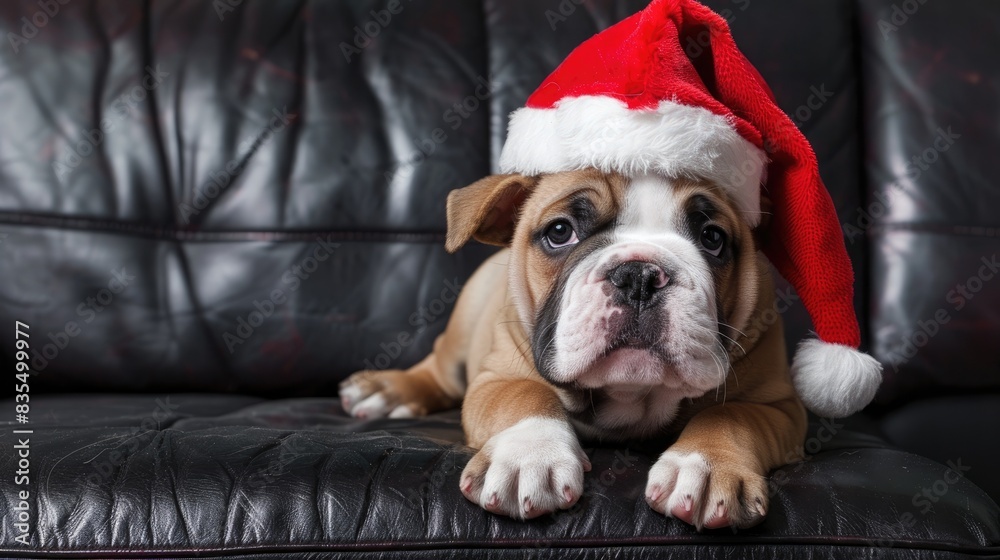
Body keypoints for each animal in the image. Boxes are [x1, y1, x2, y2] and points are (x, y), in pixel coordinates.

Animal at [340, 170, 808, 528]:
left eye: (712, 238)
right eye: (560, 231)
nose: (639, 276)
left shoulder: (776, 403)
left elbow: (731, 416)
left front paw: (706, 467)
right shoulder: (498, 376)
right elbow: (525, 393)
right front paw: (529, 457)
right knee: (438, 368)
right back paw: (388, 391)